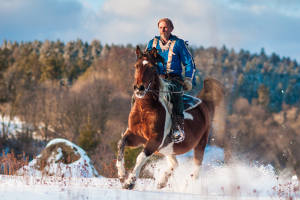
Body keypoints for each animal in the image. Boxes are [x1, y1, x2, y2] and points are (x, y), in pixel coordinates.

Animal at [117, 45, 225, 189]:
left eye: (152, 67)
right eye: (136, 66)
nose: (139, 88)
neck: (145, 109)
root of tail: (204, 103)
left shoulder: (155, 140)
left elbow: (140, 157)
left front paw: (130, 182)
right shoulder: (136, 136)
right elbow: (121, 144)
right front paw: (122, 175)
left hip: (200, 144)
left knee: (196, 169)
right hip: (168, 149)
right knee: (175, 163)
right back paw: (162, 181)